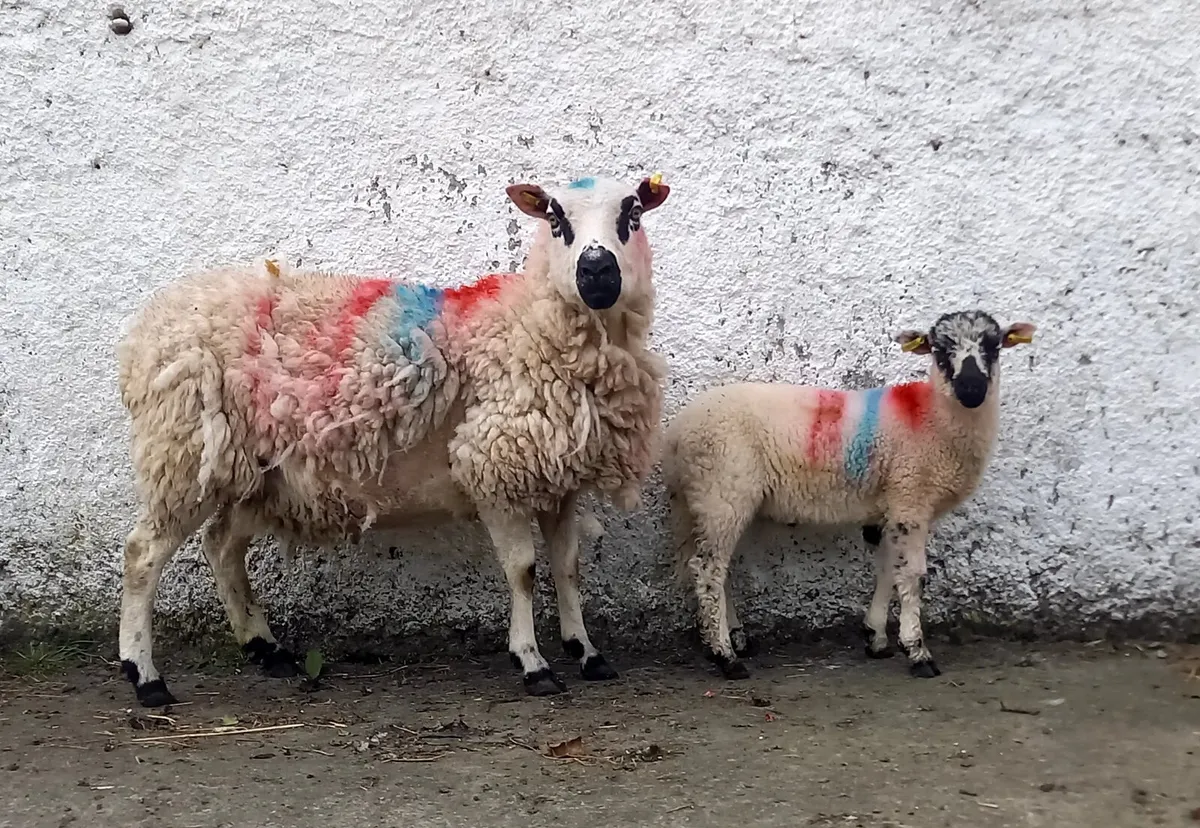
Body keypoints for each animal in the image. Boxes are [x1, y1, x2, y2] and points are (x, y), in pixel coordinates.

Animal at [115, 174, 671, 707]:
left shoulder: (558, 478)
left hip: (255, 473)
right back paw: (144, 676)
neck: (527, 325)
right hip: (184, 452)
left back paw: (266, 649)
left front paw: (587, 652)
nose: (596, 271)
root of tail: (148, 327)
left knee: (221, 545)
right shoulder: (492, 468)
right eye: (556, 218)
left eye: (633, 213)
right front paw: (532, 662)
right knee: (143, 553)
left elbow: (567, 566)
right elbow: (524, 570)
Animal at [664, 310, 1036, 680]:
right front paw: (918, 652)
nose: (971, 389)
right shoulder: (910, 498)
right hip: (723, 492)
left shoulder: (892, 504)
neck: (931, 416)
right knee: (707, 569)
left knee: (713, 568)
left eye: (994, 347)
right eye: (940, 351)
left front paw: (876, 638)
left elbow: (888, 568)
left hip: (707, 501)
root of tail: (678, 432)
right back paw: (725, 656)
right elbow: (913, 575)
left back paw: (733, 639)